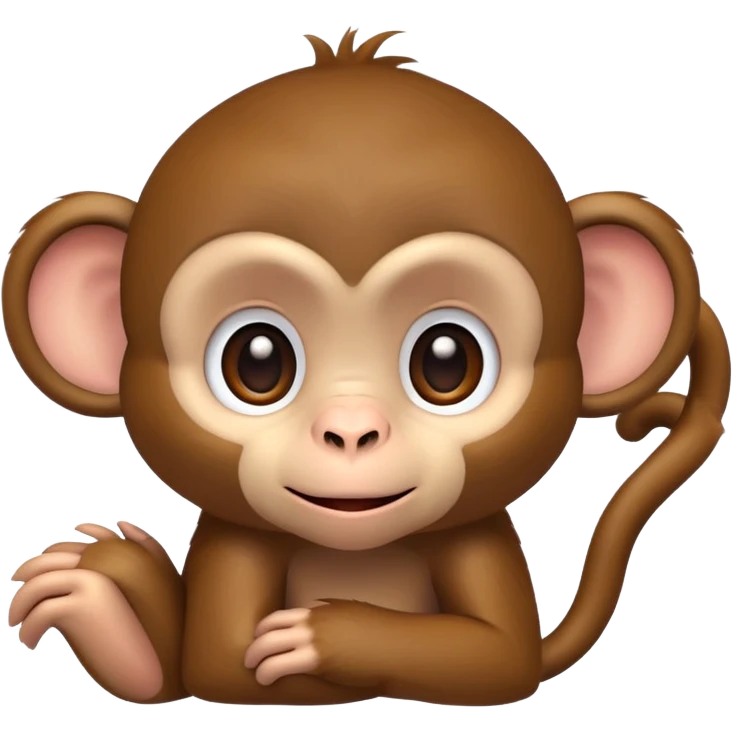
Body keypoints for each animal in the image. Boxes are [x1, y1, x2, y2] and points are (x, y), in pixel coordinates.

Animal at [2, 26, 730, 709]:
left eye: (446, 361)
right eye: (257, 362)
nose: (351, 430)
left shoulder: (479, 542)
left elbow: (497, 660)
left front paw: (327, 637)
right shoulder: (232, 541)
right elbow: (220, 663)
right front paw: (112, 602)